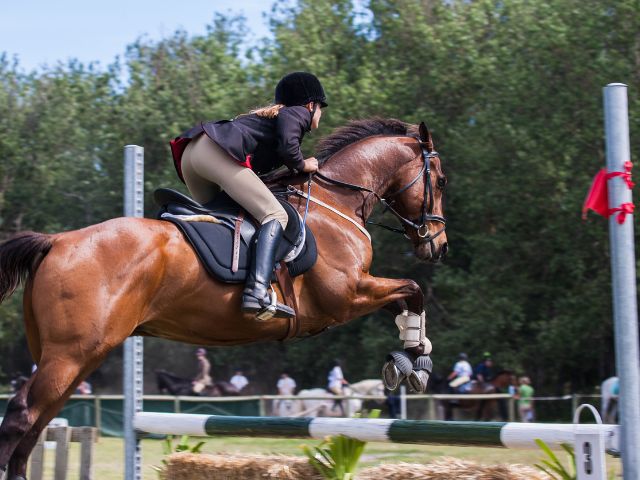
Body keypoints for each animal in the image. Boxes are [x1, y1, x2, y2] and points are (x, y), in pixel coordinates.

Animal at [0, 118, 448, 478]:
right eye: (441, 182)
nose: (437, 246)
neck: (335, 202)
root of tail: (56, 241)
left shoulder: (356, 292)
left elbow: (404, 300)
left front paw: (414, 355)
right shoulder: (345, 296)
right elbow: (413, 289)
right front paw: (413, 362)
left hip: (74, 357)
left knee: (38, 424)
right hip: (70, 354)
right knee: (22, 417)